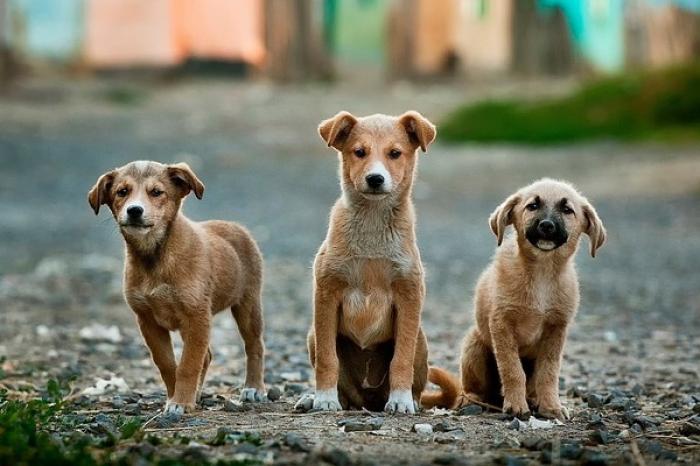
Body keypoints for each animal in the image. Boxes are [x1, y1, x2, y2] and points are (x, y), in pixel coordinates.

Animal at [87, 161, 262, 416]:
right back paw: (197, 393)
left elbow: (188, 364)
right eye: (122, 192)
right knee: (207, 356)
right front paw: (175, 397)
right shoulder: (148, 320)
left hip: (248, 305)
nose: (134, 210)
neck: (155, 258)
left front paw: (181, 402)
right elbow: (168, 364)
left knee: (254, 346)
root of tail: (235, 226)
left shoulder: (196, 316)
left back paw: (254, 388)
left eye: (157, 192)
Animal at [296, 111, 438, 414]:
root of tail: (368, 401)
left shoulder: (409, 295)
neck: (372, 224)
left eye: (395, 153)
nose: (375, 179)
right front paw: (324, 398)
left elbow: (401, 358)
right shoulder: (326, 293)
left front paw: (400, 400)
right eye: (359, 152)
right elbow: (327, 359)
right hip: (312, 335)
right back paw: (316, 398)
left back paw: (409, 400)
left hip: (421, 339)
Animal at [422, 178, 608, 418]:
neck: (541, 273)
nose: (546, 225)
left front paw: (551, 406)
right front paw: (516, 405)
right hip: (474, 345)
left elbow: (549, 373)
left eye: (567, 210)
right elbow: (512, 369)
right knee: (471, 389)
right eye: (532, 206)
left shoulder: (556, 329)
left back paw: (534, 400)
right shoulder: (502, 324)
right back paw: (472, 400)